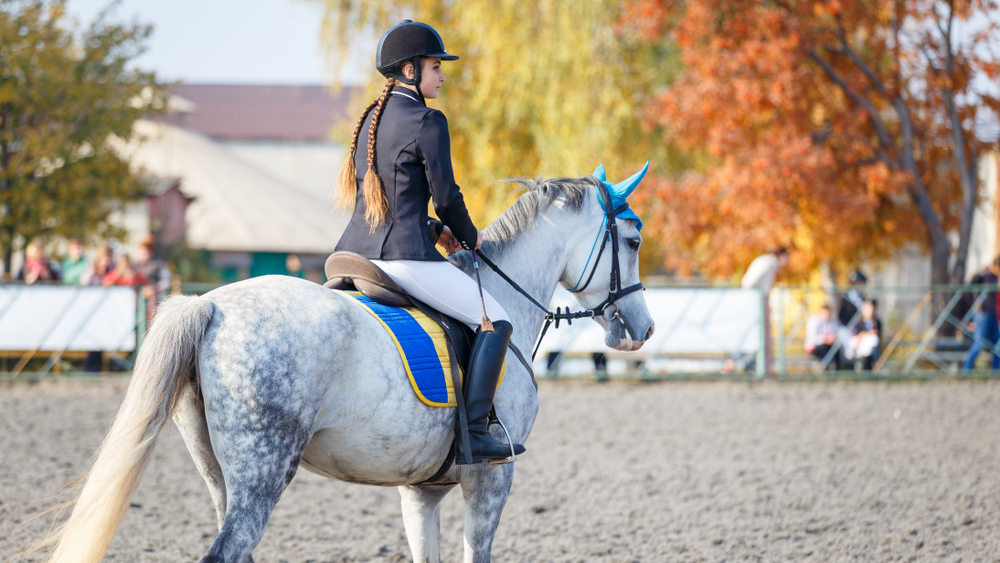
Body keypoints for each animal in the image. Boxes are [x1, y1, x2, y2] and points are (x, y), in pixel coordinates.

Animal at [41, 174, 655, 563]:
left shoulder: (421, 490)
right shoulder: (491, 478)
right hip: (263, 473)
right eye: (633, 240)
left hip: (222, 477)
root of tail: (210, 304)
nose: (642, 328)